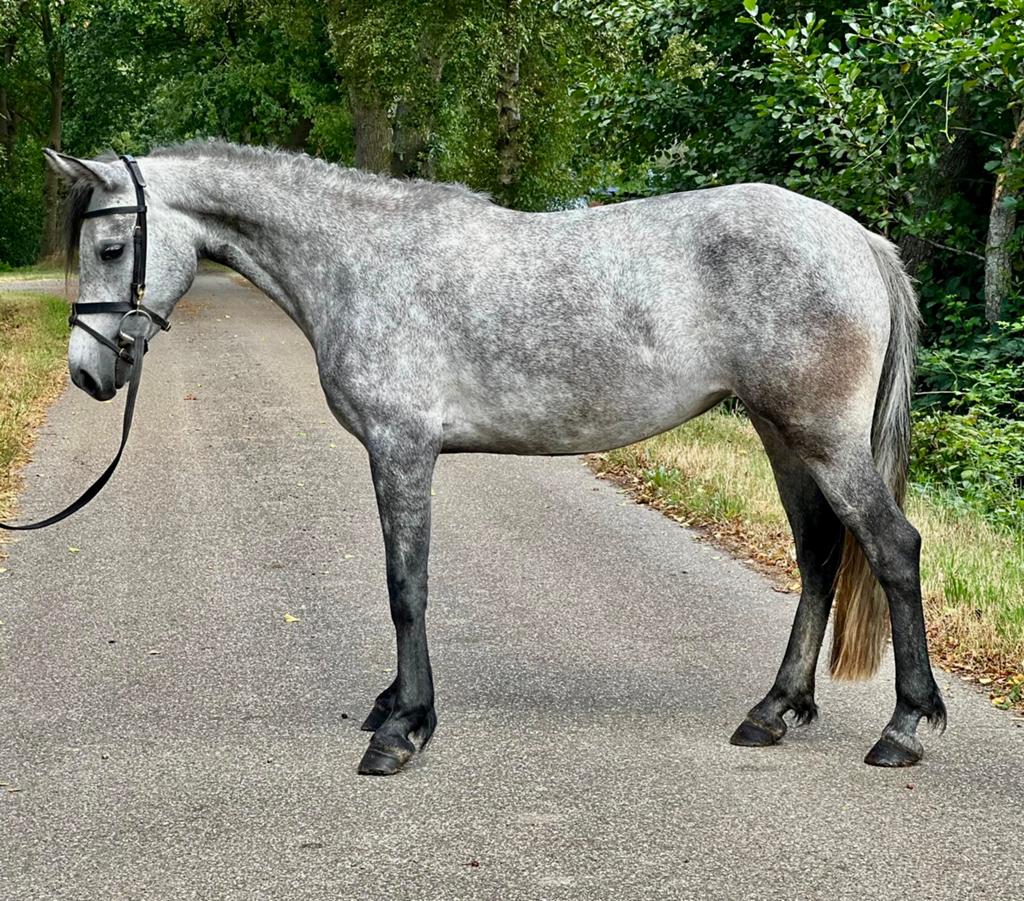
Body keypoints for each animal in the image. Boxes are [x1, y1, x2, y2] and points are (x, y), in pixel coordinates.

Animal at [42, 141, 945, 775]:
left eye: (114, 246)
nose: (88, 373)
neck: (361, 260)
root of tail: (856, 237)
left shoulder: (401, 449)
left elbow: (406, 586)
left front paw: (402, 727)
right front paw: (394, 705)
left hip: (820, 436)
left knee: (892, 547)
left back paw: (903, 726)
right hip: (781, 435)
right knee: (820, 557)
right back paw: (774, 710)